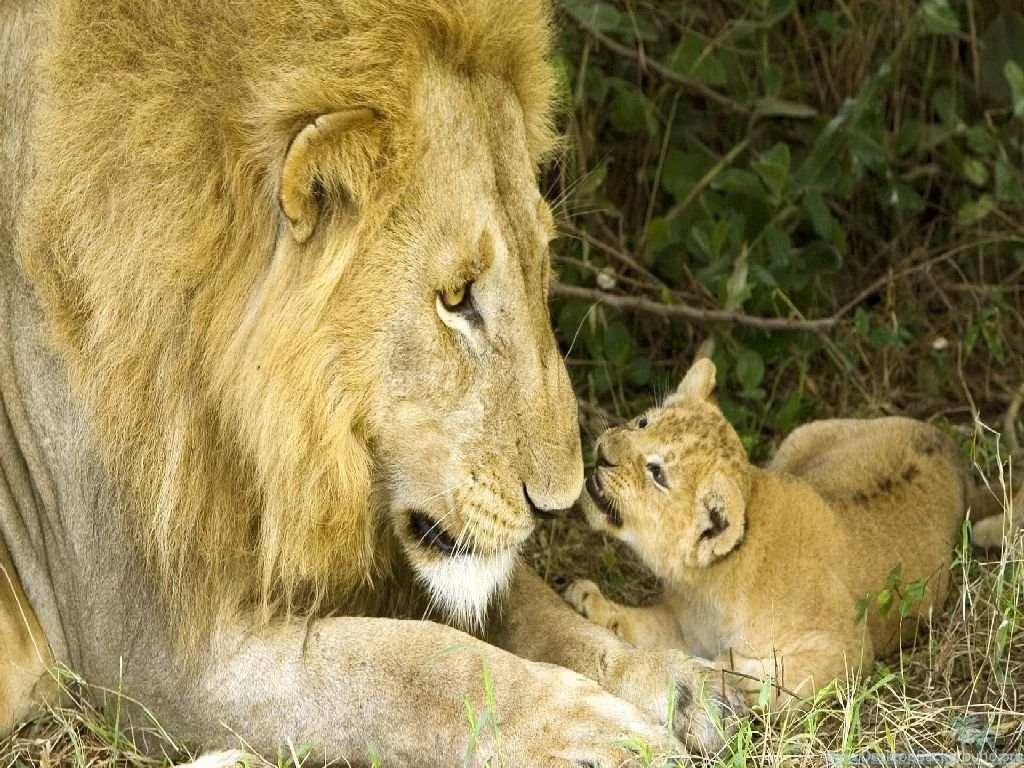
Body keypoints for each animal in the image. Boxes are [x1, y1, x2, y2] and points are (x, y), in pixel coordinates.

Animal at [0, 1, 744, 765]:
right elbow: (410, 665)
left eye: (542, 264)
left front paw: (688, 687)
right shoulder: (150, 650)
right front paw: (587, 733)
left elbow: (537, 611)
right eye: (456, 297)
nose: (559, 502)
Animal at [566, 358, 1007, 710]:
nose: (603, 451)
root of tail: (950, 448)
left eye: (657, 474)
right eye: (643, 422)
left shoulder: (848, 649)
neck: (707, 586)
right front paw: (591, 604)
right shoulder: (683, 624)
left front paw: (725, 673)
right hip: (801, 438)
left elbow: (773, 678)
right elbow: (646, 628)